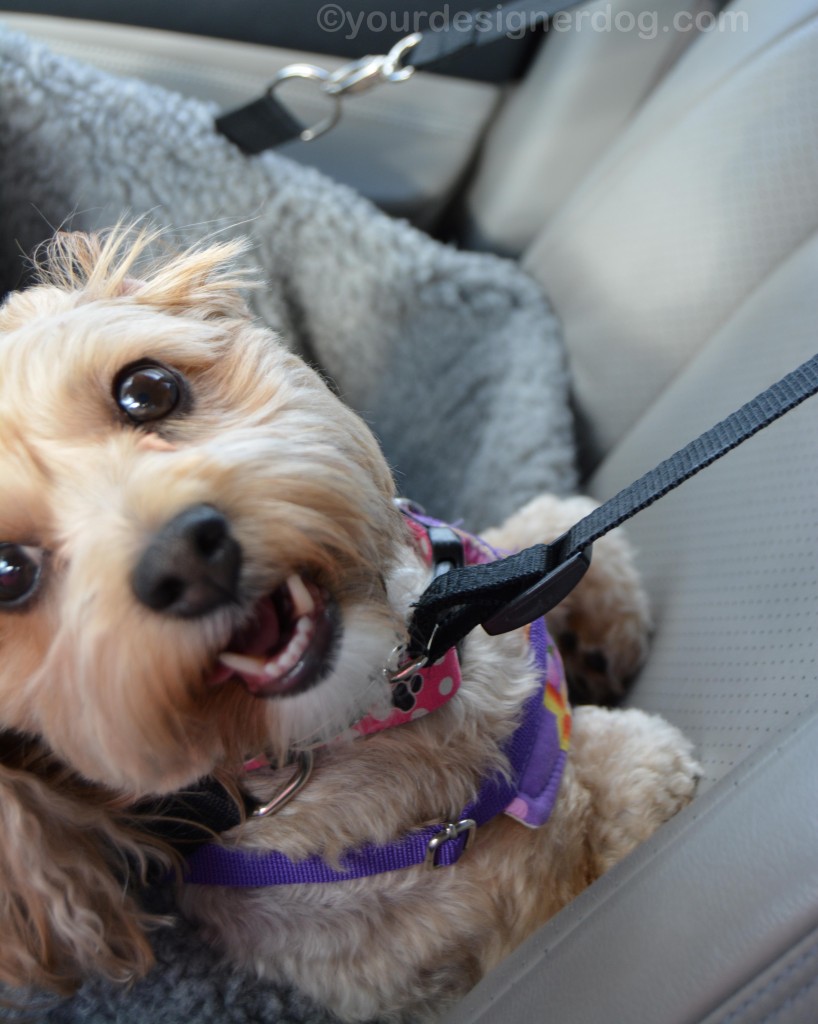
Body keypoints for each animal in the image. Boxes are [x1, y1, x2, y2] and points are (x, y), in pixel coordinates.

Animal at [0, 228, 696, 1019]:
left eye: (147, 389)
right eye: (7, 572)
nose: (185, 556)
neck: (400, 685)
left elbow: (540, 529)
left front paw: (590, 621)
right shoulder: (461, 908)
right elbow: (600, 805)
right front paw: (626, 761)